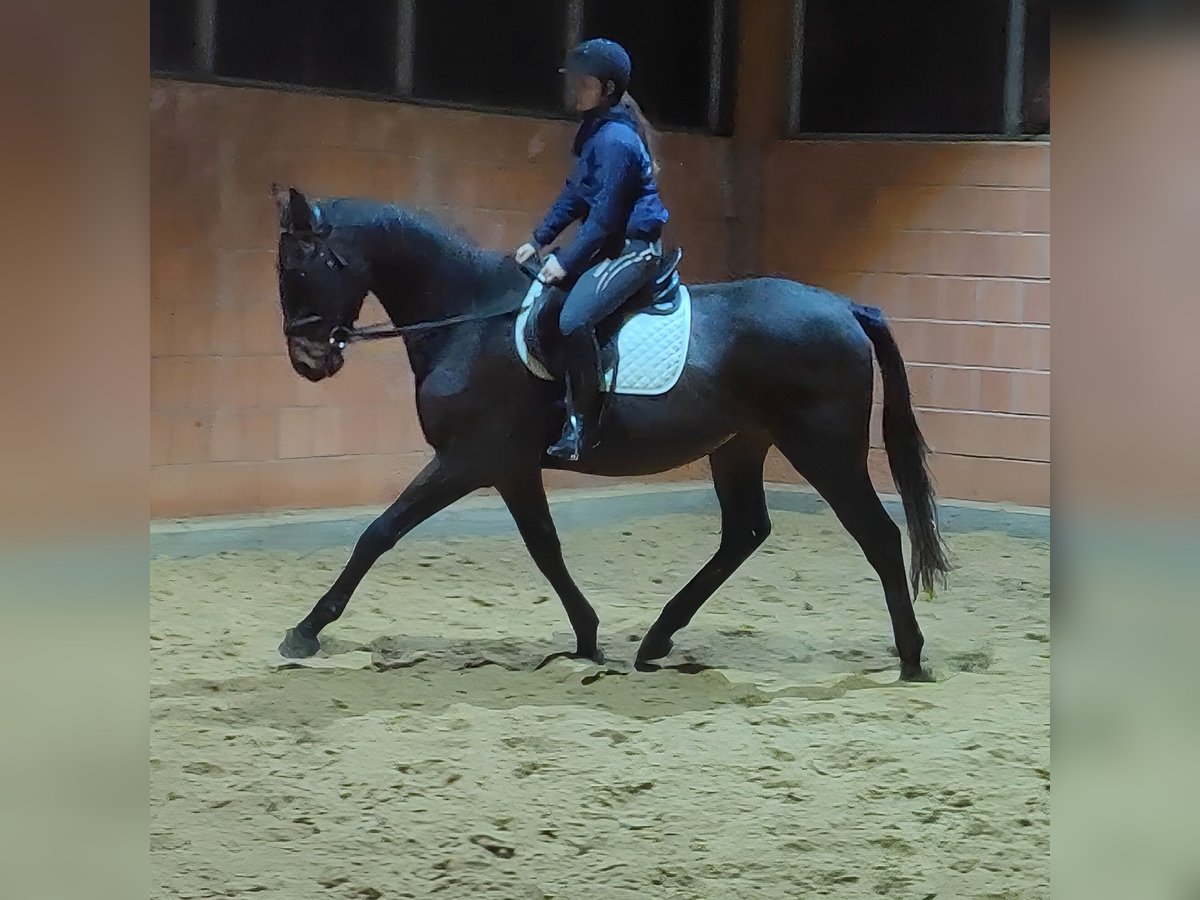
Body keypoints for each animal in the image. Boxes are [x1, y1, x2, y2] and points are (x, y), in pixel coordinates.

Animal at [270, 185, 950, 681]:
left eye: (298, 265)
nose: (307, 361)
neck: (470, 317)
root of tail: (847, 308)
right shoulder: (511, 467)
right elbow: (545, 547)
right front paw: (587, 638)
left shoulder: (469, 459)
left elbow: (379, 534)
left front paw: (304, 632)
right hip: (739, 446)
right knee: (745, 533)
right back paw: (656, 640)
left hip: (823, 449)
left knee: (878, 536)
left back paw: (912, 658)